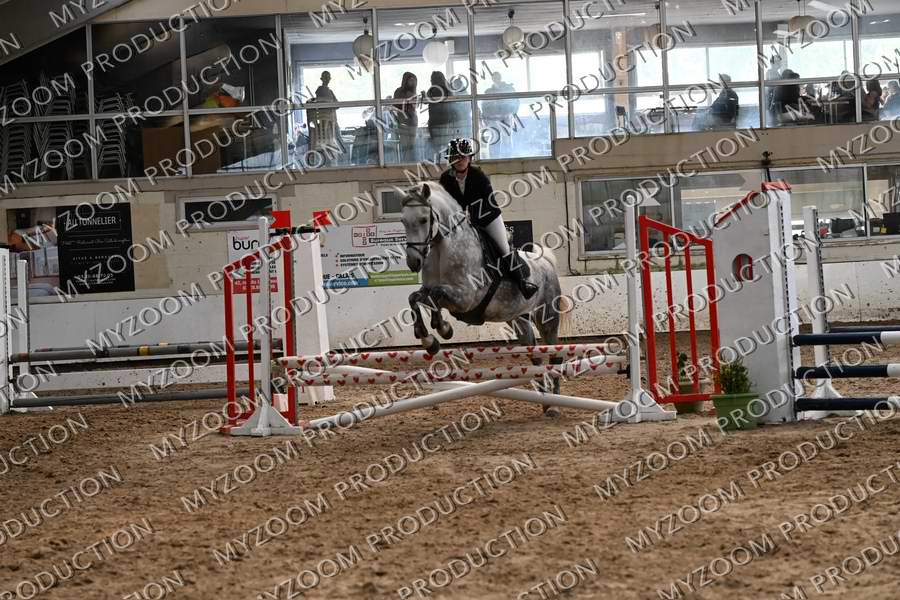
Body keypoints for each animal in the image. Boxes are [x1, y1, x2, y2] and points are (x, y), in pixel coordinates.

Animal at [400, 181, 570, 415]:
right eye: (403, 221)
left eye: (424, 219)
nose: (413, 262)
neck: (443, 249)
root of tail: (545, 262)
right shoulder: (432, 291)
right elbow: (414, 298)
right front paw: (428, 339)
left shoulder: (465, 298)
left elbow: (435, 297)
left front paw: (442, 329)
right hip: (519, 320)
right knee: (535, 357)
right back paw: (545, 401)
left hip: (547, 318)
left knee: (555, 356)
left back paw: (555, 404)